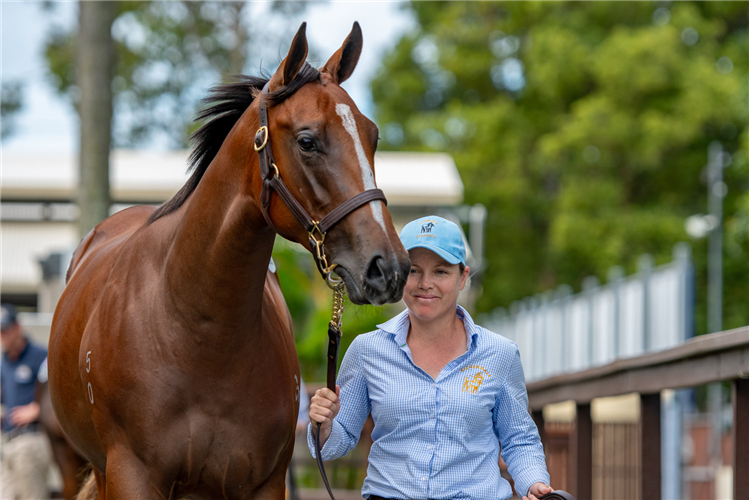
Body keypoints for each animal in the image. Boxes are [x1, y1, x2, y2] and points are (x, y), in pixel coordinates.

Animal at [46, 23, 410, 500]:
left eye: (373, 137)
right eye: (307, 141)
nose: (389, 267)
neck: (198, 334)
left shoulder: (265, 483)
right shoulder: (131, 475)